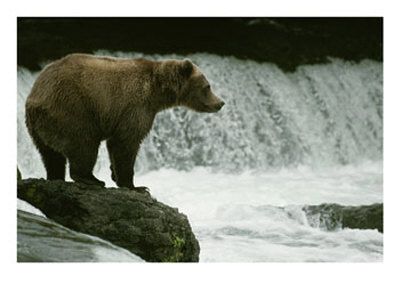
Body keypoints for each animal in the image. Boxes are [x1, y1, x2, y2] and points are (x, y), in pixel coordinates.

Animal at [25, 54, 225, 193]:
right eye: (207, 86)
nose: (220, 103)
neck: (157, 92)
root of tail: (36, 97)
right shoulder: (135, 106)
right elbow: (127, 142)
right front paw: (136, 186)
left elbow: (115, 144)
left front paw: (115, 174)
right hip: (72, 109)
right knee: (84, 144)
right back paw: (92, 179)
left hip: (39, 128)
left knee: (50, 155)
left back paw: (55, 177)